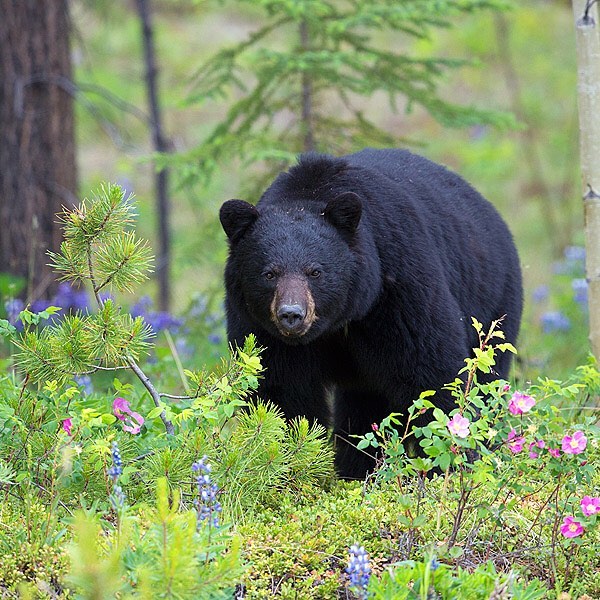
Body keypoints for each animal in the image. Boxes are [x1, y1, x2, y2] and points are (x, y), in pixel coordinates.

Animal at [219, 148, 520, 476]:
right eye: (269, 274)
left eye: (315, 271)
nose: (292, 314)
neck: (339, 321)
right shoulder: (261, 328)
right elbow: (282, 394)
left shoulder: (398, 288)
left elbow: (432, 375)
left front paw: (448, 465)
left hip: (493, 308)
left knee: (487, 383)